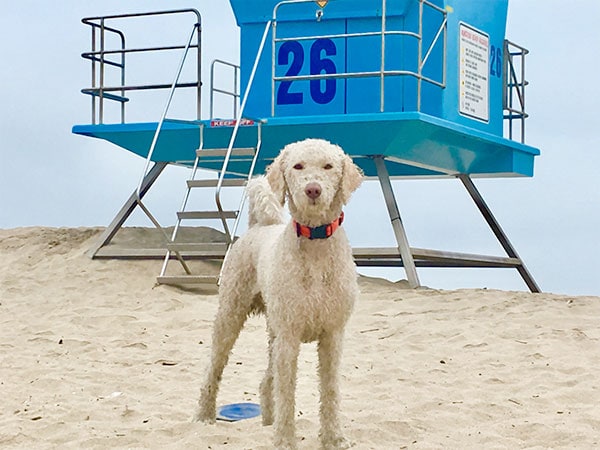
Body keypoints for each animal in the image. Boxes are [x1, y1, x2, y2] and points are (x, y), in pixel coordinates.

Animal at [196, 139, 366, 448]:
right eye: (298, 166)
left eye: (328, 166)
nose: (313, 190)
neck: (315, 242)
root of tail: (259, 226)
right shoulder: (290, 334)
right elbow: (287, 391)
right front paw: (285, 440)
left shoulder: (332, 334)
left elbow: (330, 391)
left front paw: (334, 438)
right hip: (231, 313)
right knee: (214, 366)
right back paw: (204, 416)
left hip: (273, 327)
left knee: (267, 380)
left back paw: (267, 422)